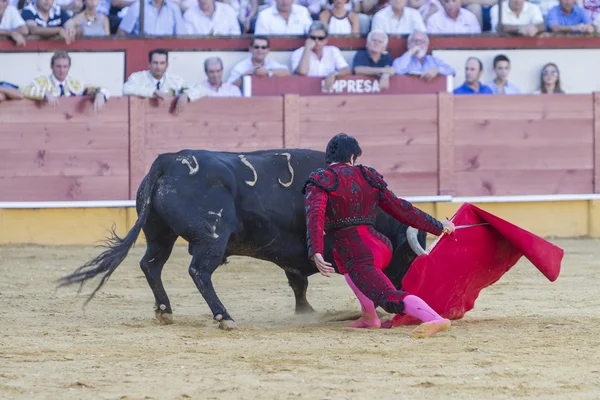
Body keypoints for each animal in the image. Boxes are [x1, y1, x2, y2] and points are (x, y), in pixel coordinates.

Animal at [57, 148, 426, 330]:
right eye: (410, 256)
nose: (406, 292)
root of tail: (168, 162)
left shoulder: (293, 257)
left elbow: (299, 284)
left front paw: (305, 312)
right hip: (212, 238)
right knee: (198, 272)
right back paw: (224, 317)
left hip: (160, 233)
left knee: (151, 264)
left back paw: (165, 310)